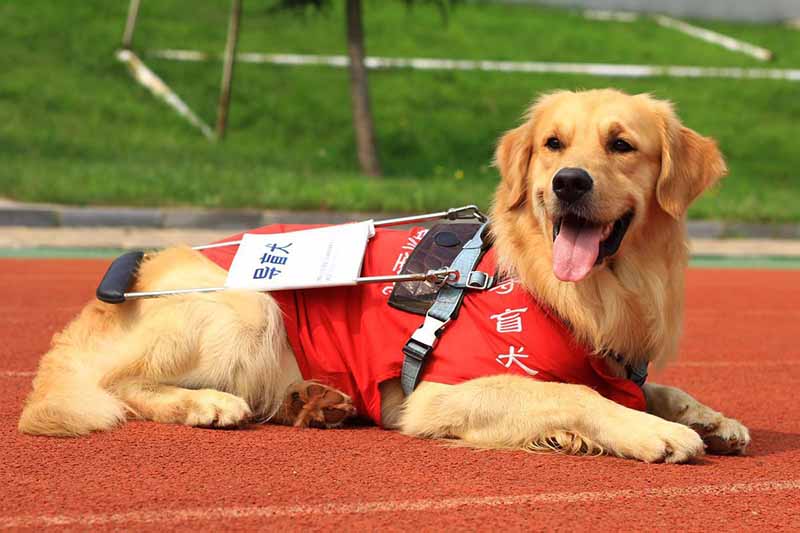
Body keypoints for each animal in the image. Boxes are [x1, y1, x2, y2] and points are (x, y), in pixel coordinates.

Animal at [21, 88, 752, 462]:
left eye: (622, 144)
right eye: (554, 145)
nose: (568, 182)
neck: (584, 292)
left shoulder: (616, 360)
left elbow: (653, 387)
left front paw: (709, 416)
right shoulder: (439, 391)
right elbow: (575, 394)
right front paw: (656, 433)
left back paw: (317, 402)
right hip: (251, 308)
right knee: (121, 384)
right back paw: (211, 403)